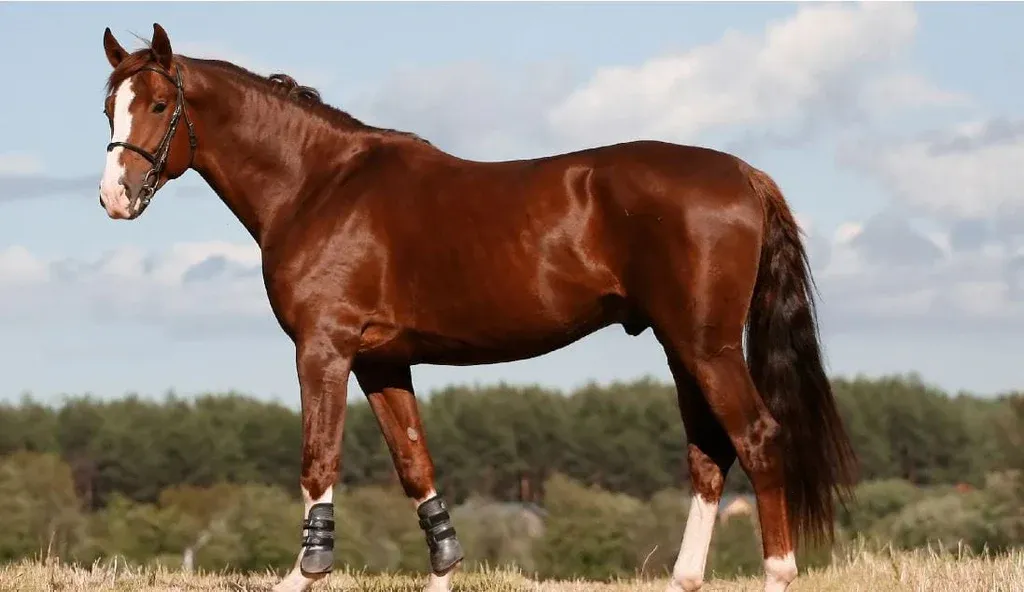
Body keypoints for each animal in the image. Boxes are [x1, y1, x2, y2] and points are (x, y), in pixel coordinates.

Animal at [96, 23, 857, 592]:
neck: (320, 185)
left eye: (159, 106)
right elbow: (415, 463)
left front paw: (304, 573)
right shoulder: (381, 362)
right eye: (109, 107)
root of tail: (745, 174)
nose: (114, 197)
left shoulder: (324, 348)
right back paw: (685, 578)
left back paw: (776, 573)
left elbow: (319, 457)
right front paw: (442, 571)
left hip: (708, 347)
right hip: (682, 347)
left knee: (756, 438)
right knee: (709, 452)